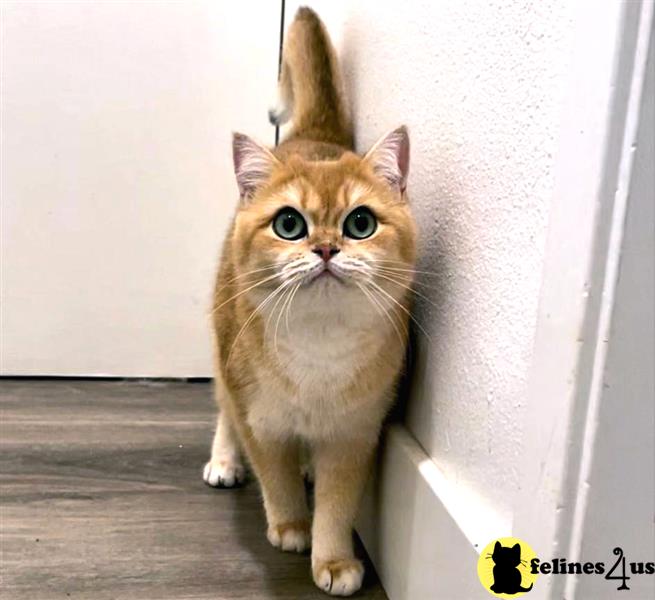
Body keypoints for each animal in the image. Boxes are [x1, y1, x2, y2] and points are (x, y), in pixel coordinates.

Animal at [202, 7, 418, 596]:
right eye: (289, 224)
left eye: (361, 223)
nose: (324, 248)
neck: (319, 352)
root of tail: (314, 136)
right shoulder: (260, 418)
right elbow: (272, 475)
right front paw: (292, 526)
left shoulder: (355, 433)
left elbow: (339, 503)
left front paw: (335, 559)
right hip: (223, 347)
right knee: (223, 408)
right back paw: (225, 461)